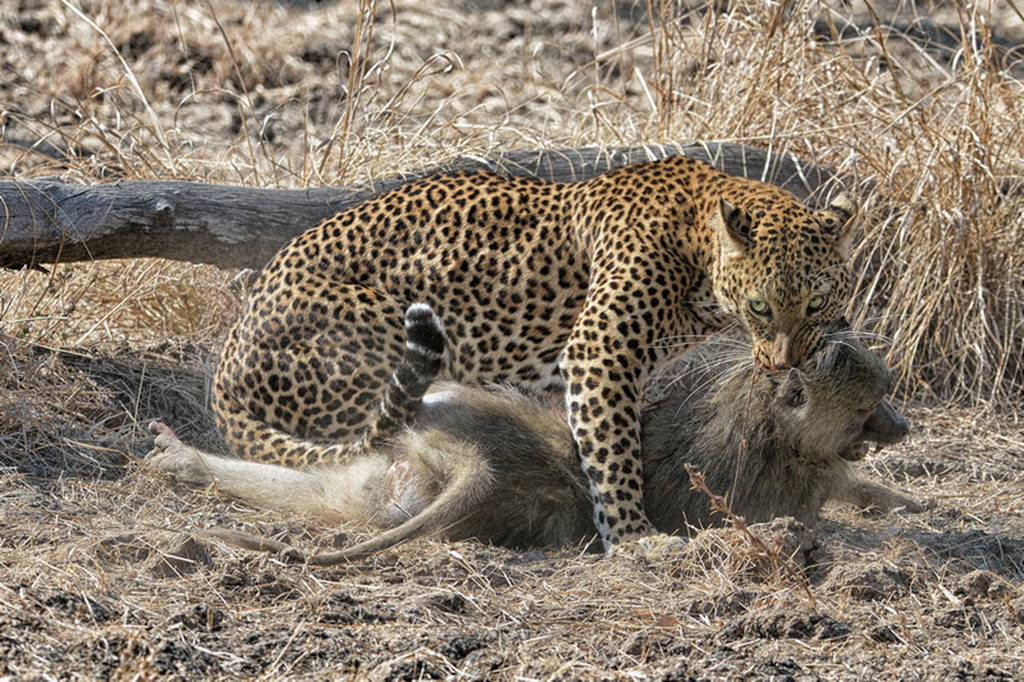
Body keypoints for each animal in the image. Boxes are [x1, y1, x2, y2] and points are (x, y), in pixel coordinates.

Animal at [211, 152, 860, 548]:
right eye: (761, 307)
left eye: (817, 303)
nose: (785, 365)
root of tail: (223, 372)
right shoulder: (599, 351)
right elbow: (612, 450)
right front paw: (634, 537)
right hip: (380, 327)